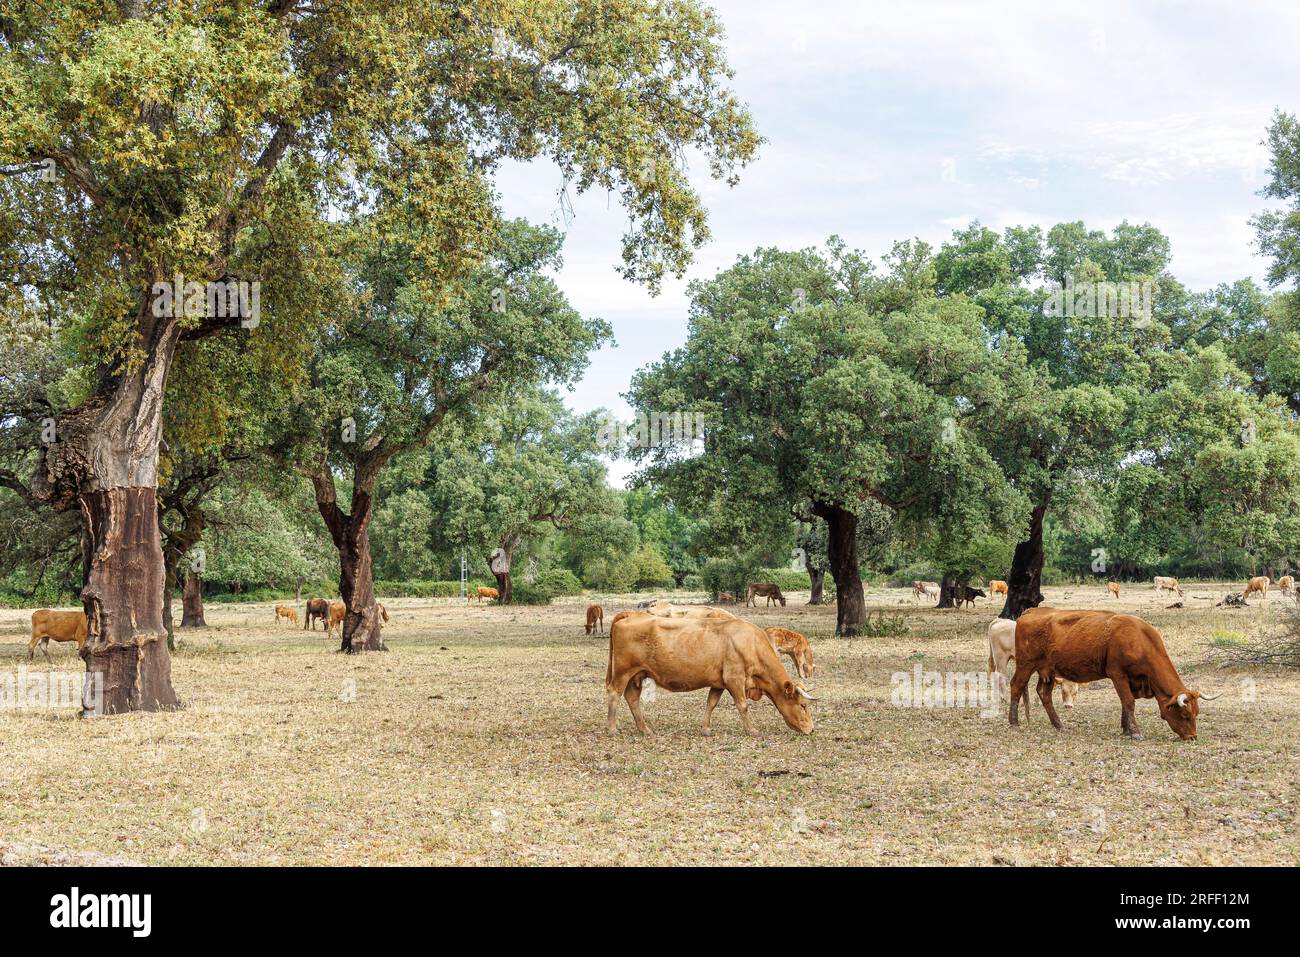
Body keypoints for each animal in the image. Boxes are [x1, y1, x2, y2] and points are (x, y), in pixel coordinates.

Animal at [606, 612, 816, 736]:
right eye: (803, 705)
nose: (811, 729)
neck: (750, 643)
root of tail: (630, 615)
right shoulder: (734, 679)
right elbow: (743, 706)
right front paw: (751, 730)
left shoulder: (719, 682)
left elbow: (711, 703)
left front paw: (706, 729)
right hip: (623, 672)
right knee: (615, 694)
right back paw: (613, 728)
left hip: (637, 675)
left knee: (632, 698)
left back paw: (645, 729)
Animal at [1008, 607, 1218, 740]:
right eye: (1185, 715)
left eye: (1197, 713)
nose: (1192, 737)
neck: (1139, 639)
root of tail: (1032, 611)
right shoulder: (1118, 674)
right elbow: (1128, 702)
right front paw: (1134, 732)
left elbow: (1125, 704)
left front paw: (1126, 728)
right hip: (1025, 664)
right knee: (1017, 686)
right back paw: (1014, 722)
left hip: (1048, 671)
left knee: (1044, 694)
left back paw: (1059, 724)